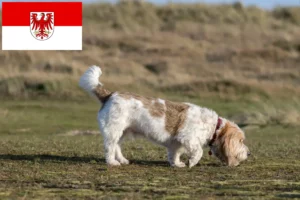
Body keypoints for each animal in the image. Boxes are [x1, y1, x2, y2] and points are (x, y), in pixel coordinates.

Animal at [78, 65, 250, 167]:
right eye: (241, 141)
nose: (249, 153)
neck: (214, 127)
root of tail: (110, 95)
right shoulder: (189, 138)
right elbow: (198, 152)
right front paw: (192, 162)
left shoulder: (177, 143)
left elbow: (175, 154)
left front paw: (177, 164)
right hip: (113, 131)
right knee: (109, 147)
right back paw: (112, 162)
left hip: (122, 132)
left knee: (117, 147)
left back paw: (122, 160)